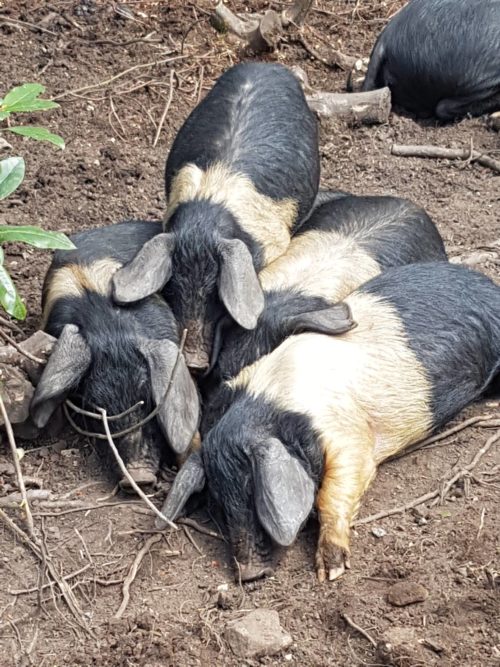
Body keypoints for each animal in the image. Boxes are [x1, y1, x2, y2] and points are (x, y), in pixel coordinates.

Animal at [159, 264, 500, 580]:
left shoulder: (350, 437)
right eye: (218, 502)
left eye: (254, 496)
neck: (275, 403)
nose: (249, 574)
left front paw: (331, 572)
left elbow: (334, 490)